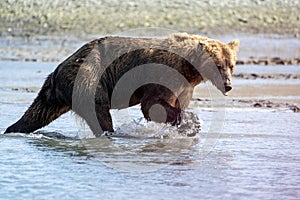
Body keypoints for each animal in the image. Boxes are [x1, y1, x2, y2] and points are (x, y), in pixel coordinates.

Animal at [4, 32, 239, 137]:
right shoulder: (163, 73)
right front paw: (189, 121)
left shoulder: (184, 85)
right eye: (218, 65)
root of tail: (57, 70)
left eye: (232, 65)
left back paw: (12, 129)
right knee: (99, 110)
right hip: (89, 77)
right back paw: (112, 133)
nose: (228, 85)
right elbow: (152, 104)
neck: (189, 68)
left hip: (57, 93)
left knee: (37, 113)